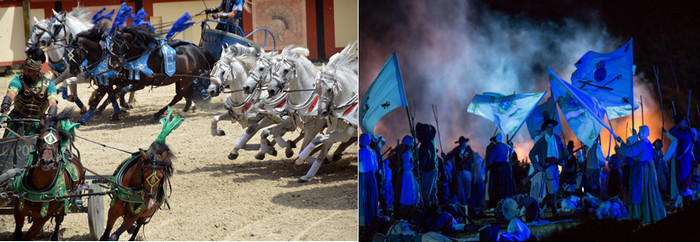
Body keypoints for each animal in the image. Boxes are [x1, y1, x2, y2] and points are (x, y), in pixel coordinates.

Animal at [12, 109, 84, 240]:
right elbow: (18, 233)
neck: (38, 189)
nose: (46, 161)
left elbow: (29, 235)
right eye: (40, 139)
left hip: (64, 204)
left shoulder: (42, 218)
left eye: (58, 141)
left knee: (58, 221)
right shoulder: (18, 210)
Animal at [292, 41, 358, 182]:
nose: (321, 112)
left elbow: (317, 140)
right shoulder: (331, 131)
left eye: (329, 89)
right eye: (316, 88)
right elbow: (321, 151)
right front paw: (307, 174)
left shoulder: (345, 134)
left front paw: (300, 159)